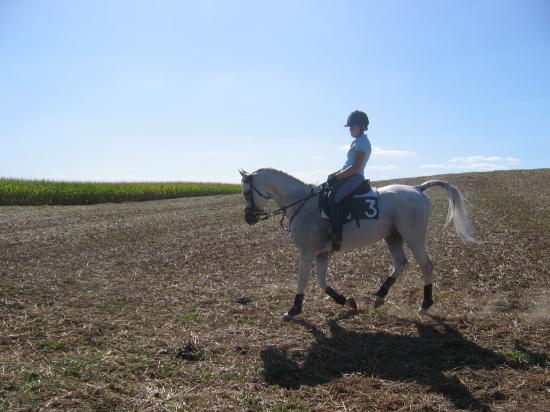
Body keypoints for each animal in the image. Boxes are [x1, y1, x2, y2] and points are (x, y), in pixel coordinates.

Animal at [239, 169, 476, 320]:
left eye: (246, 192)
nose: (248, 218)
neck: (302, 204)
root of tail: (418, 189)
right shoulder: (322, 253)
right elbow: (321, 282)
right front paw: (346, 301)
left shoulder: (307, 251)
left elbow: (303, 279)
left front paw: (294, 309)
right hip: (393, 237)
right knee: (401, 263)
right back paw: (379, 297)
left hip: (414, 237)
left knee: (426, 265)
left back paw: (425, 305)